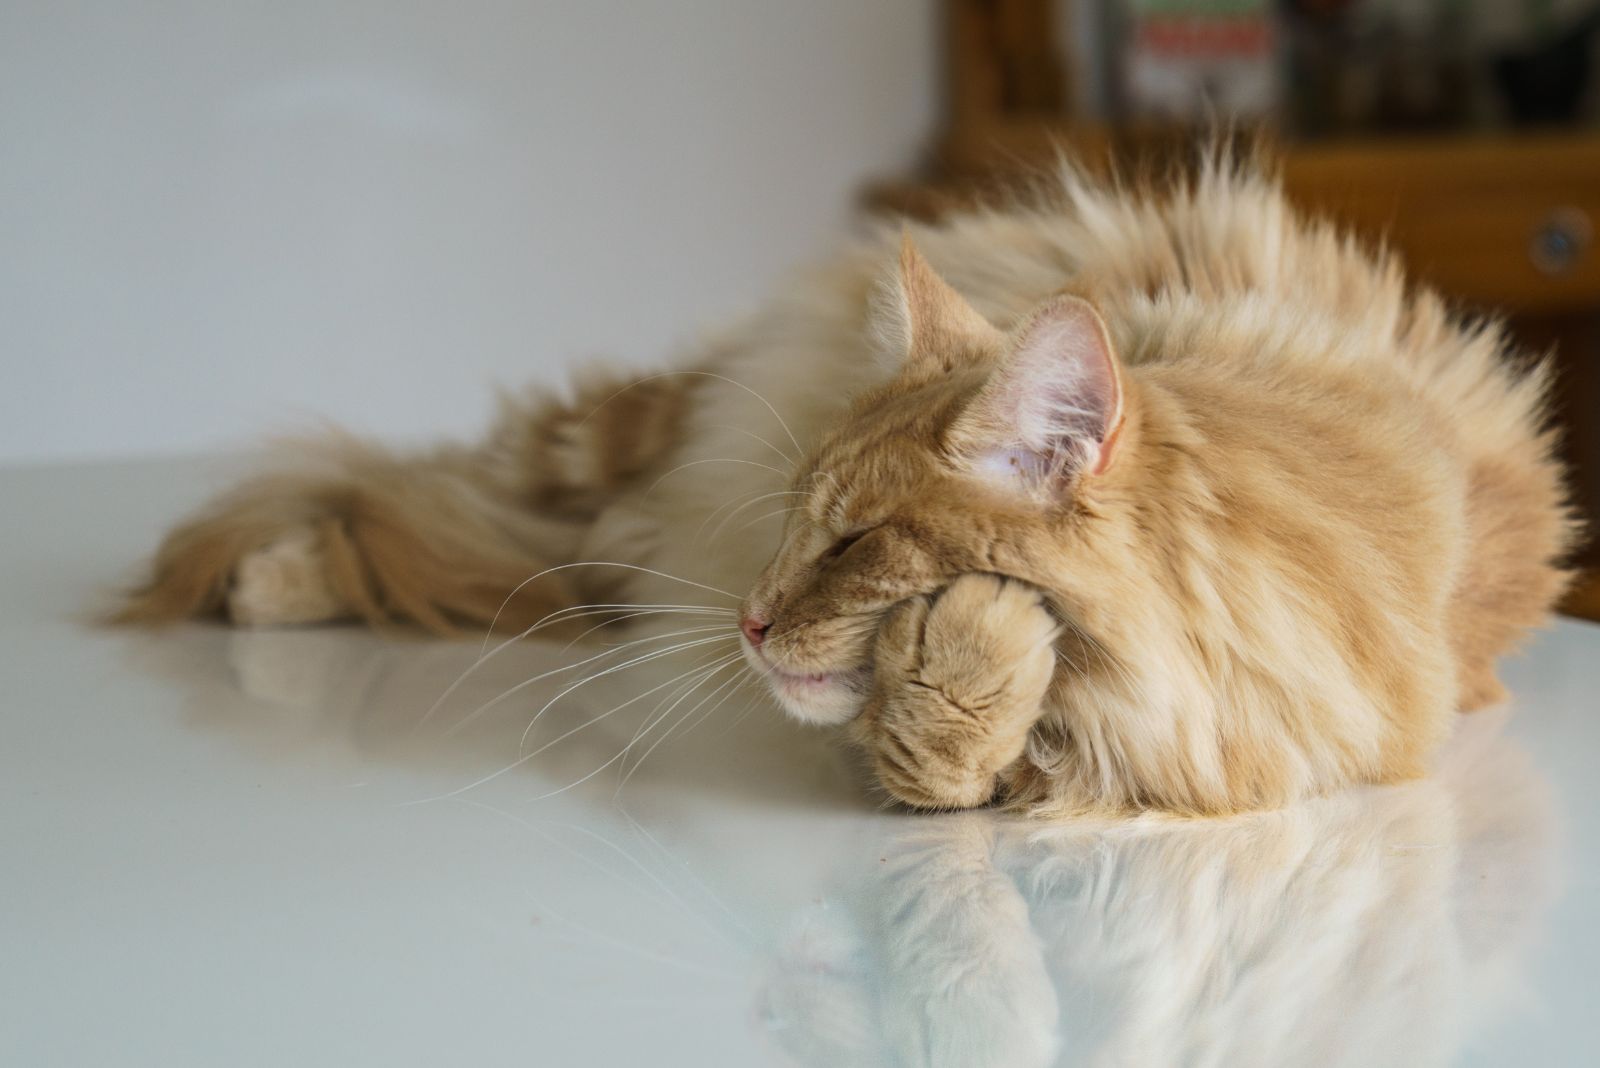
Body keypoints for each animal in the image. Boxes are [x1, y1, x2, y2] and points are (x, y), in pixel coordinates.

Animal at [112, 154, 1574, 812]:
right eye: (796, 526)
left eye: (853, 543)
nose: (749, 622)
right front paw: (990, 639)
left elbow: (935, 750)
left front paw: (985, 642)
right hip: (608, 448)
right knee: (430, 498)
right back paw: (266, 579)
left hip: (599, 541)